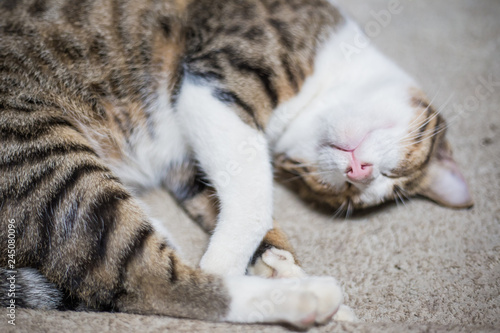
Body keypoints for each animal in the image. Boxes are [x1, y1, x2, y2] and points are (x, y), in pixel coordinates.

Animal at [0, 0, 470, 326]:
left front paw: (277, 263)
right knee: (151, 281)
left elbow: (229, 200)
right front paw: (228, 263)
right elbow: (254, 200)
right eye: (394, 174)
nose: (360, 174)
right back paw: (305, 298)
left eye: (359, 191)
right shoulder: (214, 82)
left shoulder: (189, 161)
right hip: (45, 155)